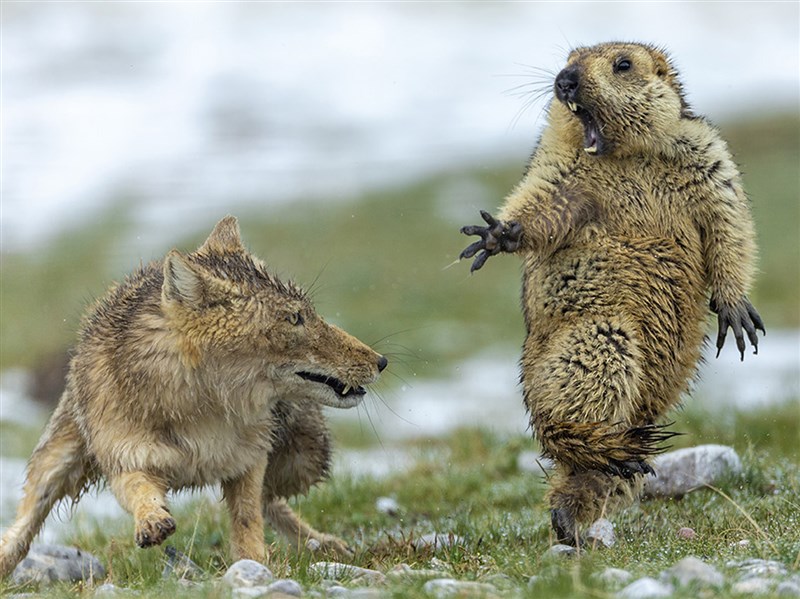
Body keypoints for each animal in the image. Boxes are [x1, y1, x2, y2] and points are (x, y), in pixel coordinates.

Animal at [0, 216, 388, 576]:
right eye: (294, 318)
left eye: (309, 314)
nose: (381, 361)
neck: (201, 410)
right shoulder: (126, 458)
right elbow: (139, 490)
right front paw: (152, 520)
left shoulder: (248, 459)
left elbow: (248, 517)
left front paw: (254, 563)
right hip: (56, 461)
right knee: (25, 522)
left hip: (304, 458)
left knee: (271, 501)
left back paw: (322, 544)